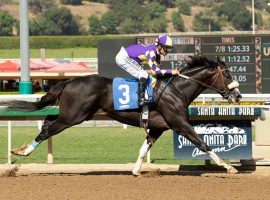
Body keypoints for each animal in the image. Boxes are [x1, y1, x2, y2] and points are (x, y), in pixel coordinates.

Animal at [1, 55, 242, 175]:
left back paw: (21, 149)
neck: (177, 90)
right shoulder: (180, 123)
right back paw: (22, 151)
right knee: (47, 130)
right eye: (227, 73)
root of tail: (69, 81)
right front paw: (228, 167)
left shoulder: (157, 127)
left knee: (47, 123)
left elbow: (144, 149)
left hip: (71, 114)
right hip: (74, 116)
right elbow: (203, 143)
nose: (238, 95)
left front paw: (135, 171)